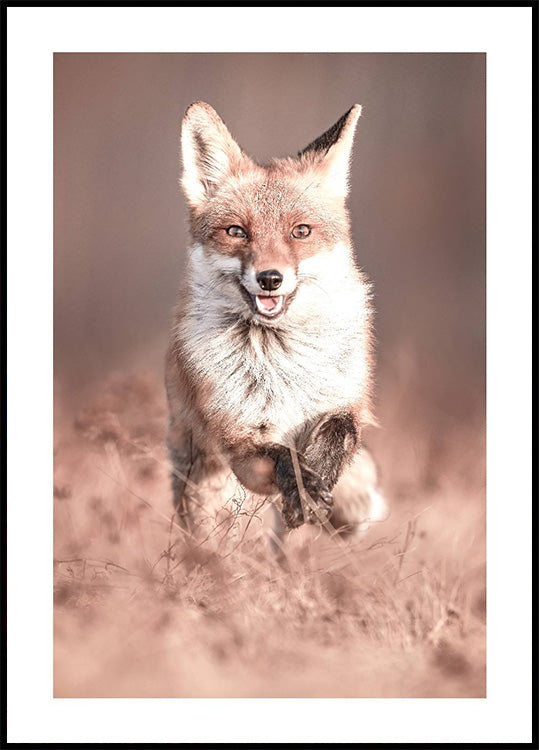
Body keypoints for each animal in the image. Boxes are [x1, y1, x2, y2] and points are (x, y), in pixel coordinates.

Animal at [165, 101, 386, 539]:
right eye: (236, 231)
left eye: (300, 231)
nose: (270, 278)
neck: (284, 364)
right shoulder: (241, 442)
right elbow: (285, 456)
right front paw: (305, 491)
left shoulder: (349, 403)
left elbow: (340, 432)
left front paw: (319, 478)